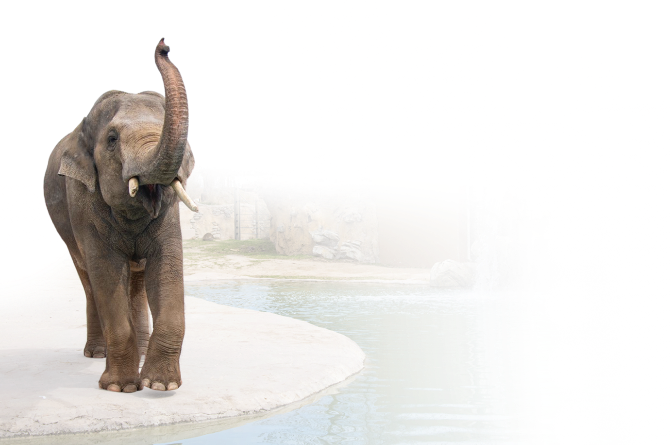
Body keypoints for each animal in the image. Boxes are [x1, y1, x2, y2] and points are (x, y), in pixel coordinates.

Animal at [43, 40, 198, 393]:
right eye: (112, 140)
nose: (163, 47)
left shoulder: (168, 216)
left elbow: (166, 264)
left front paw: (160, 386)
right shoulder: (83, 202)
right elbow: (105, 271)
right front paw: (121, 388)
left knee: (137, 280)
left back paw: (139, 356)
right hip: (65, 226)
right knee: (89, 279)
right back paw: (96, 354)